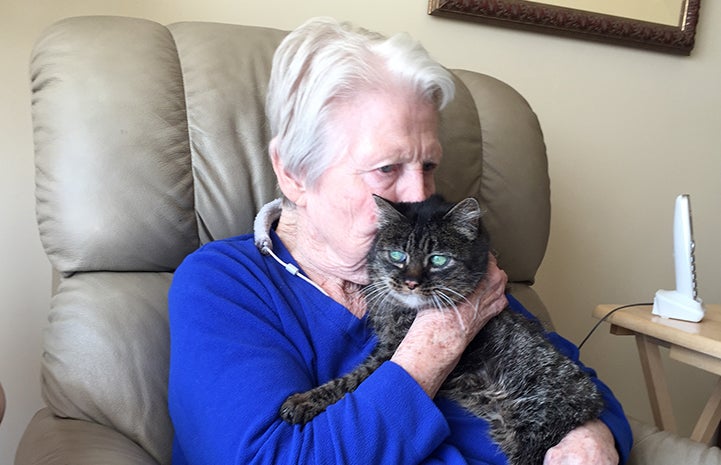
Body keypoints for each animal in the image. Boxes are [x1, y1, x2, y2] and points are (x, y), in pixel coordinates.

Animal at [278, 194, 604, 462]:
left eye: (437, 259)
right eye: (397, 256)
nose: (410, 282)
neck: (402, 310)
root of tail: (593, 403)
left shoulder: (390, 353)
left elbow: (351, 381)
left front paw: (304, 400)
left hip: (533, 432)